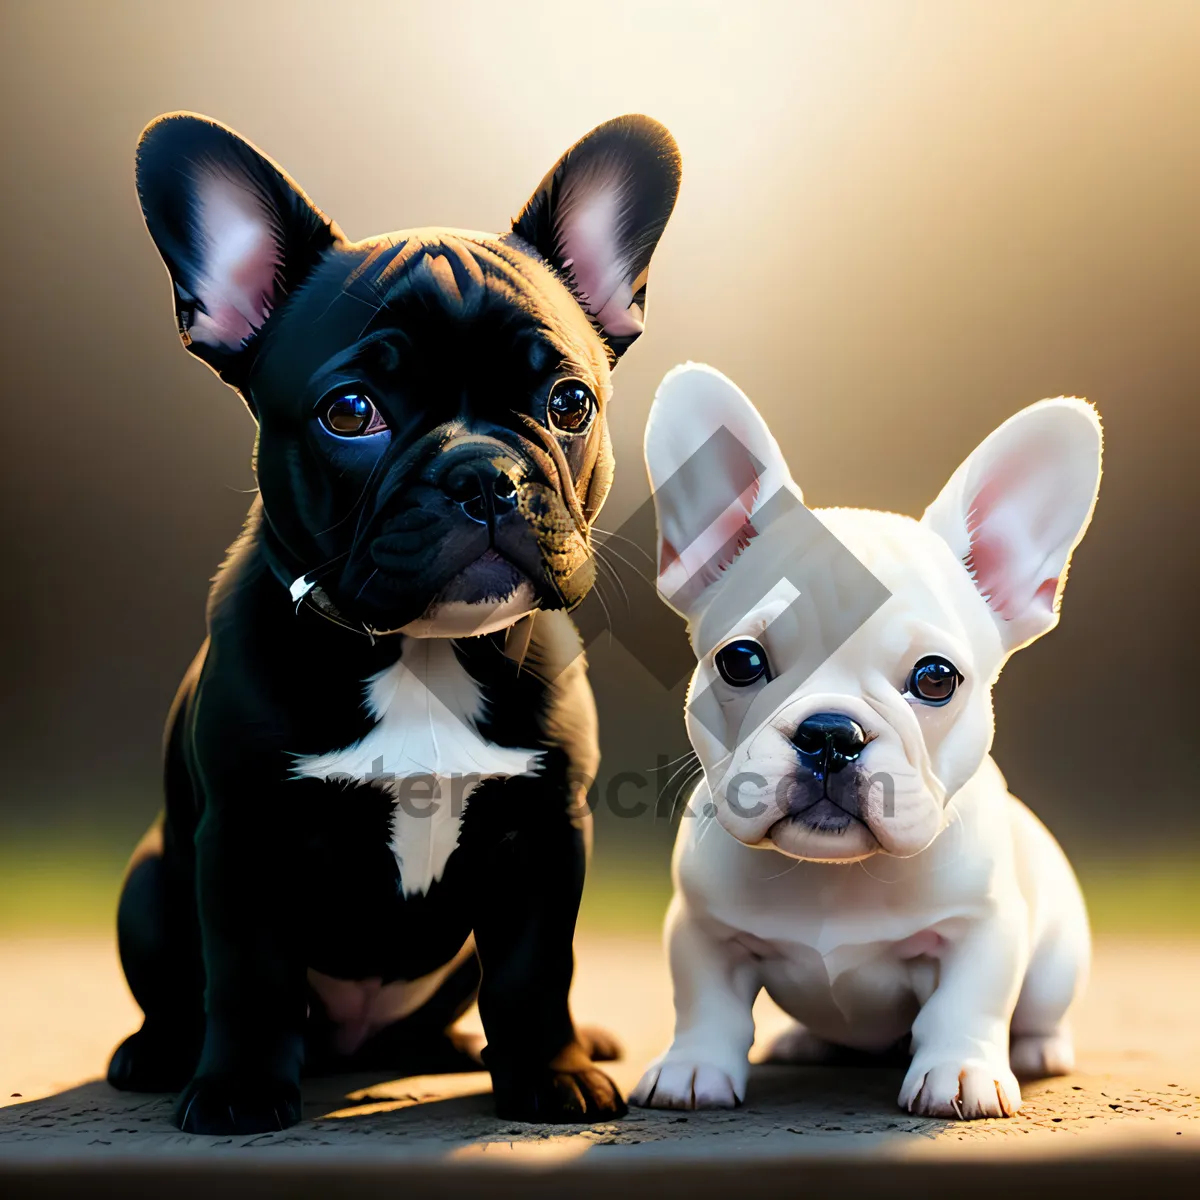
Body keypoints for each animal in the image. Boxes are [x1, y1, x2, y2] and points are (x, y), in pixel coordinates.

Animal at [106, 112, 681, 1132]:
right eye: (350, 413)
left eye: (569, 401)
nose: (483, 473)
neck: (424, 652)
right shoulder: (244, 835)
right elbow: (248, 973)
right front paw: (240, 1088)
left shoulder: (544, 834)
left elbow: (536, 969)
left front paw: (551, 1072)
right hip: (148, 885)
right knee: (186, 990)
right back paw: (159, 1052)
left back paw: (465, 1047)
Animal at [633, 362, 1099, 1113]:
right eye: (741, 660)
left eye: (936, 678)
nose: (830, 733)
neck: (837, 877)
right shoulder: (703, 929)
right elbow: (705, 1002)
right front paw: (692, 1068)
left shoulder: (980, 929)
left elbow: (966, 1005)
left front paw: (961, 1073)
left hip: (1056, 963)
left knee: (1038, 1010)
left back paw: (1037, 1048)